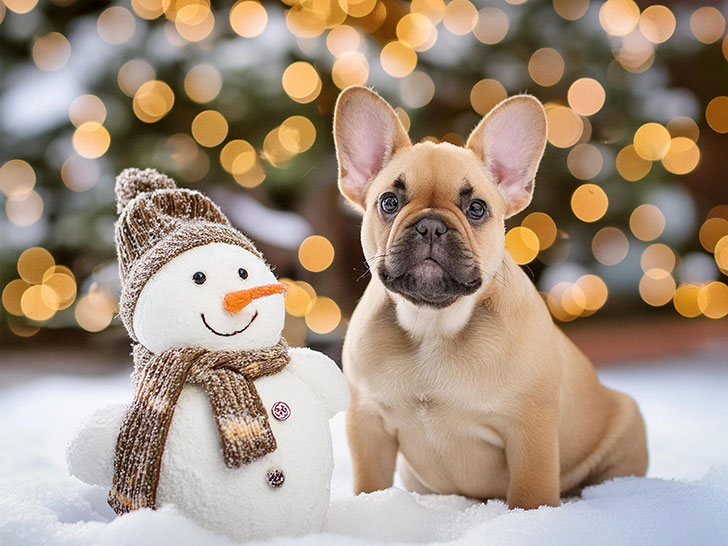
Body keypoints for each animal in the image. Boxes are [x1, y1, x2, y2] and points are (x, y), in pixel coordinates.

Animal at [334, 87, 648, 508]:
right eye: (388, 202)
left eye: (476, 208)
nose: (430, 225)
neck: (433, 325)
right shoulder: (367, 422)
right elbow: (370, 482)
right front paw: (372, 506)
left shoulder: (529, 429)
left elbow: (531, 490)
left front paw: (532, 515)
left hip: (625, 427)